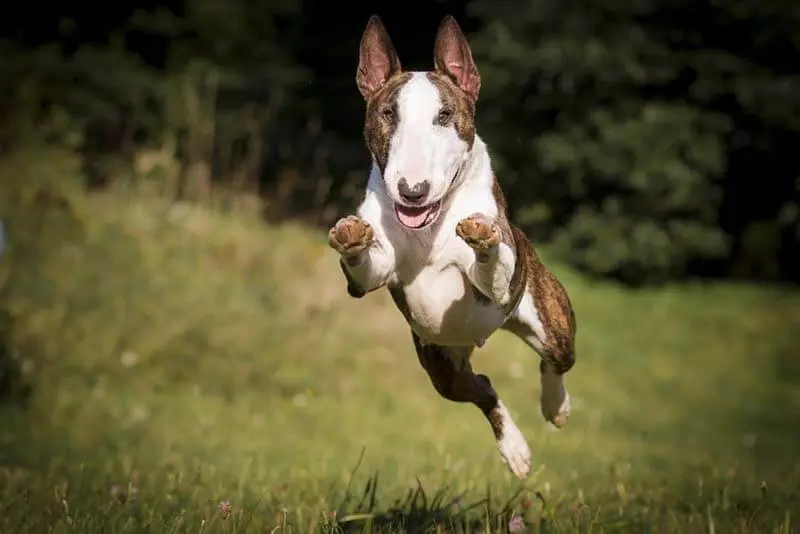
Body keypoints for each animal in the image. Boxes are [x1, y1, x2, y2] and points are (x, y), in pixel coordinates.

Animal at [328, 13, 580, 482]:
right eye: (388, 113)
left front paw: (481, 234)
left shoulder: (498, 282)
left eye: (445, 115)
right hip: (443, 367)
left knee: (554, 360)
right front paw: (351, 236)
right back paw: (516, 451)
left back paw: (556, 407)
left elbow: (491, 264)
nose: (412, 191)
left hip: (548, 319)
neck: (429, 227)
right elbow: (366, 269)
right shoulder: (377, 270)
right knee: (483, 390)